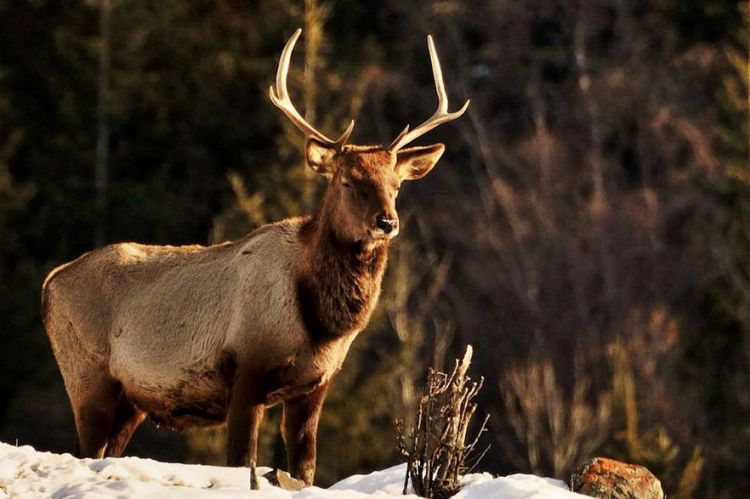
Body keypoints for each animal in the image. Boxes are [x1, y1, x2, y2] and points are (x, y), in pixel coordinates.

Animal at [41, 29, 470, 490]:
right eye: (348, 180)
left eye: (396, 184)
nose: (386, 221)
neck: (321, 324)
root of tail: (49, 284)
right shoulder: (246, 367)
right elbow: (241, 460)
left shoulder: (315, 384)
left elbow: (305, 466)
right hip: (87, 376)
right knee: (87, 446)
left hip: (131, 398)